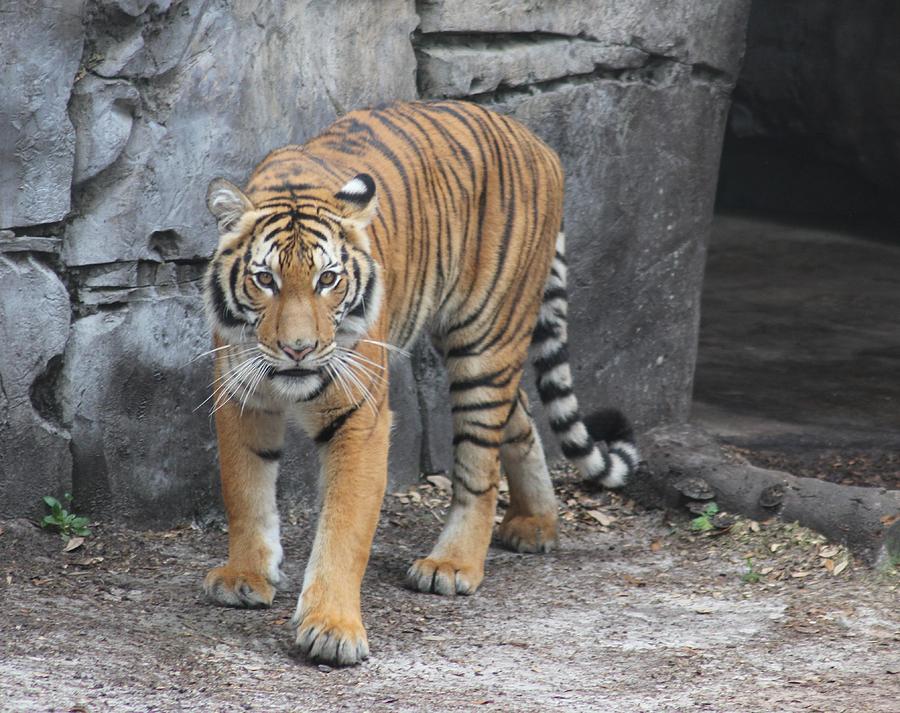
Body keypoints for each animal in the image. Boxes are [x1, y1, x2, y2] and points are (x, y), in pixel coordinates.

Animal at [204, 100, 640, 668]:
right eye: (265, 280)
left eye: (328, 279)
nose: (298, 348)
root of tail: (538, 143)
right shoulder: (241, 399)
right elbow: (245, 491)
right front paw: (245, 576)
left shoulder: (361, 419)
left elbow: (344, 527)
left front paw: (332, 628)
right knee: (520, 414)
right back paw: (536, 523)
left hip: (484, 341)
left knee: (481, 465)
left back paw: (452, 565)